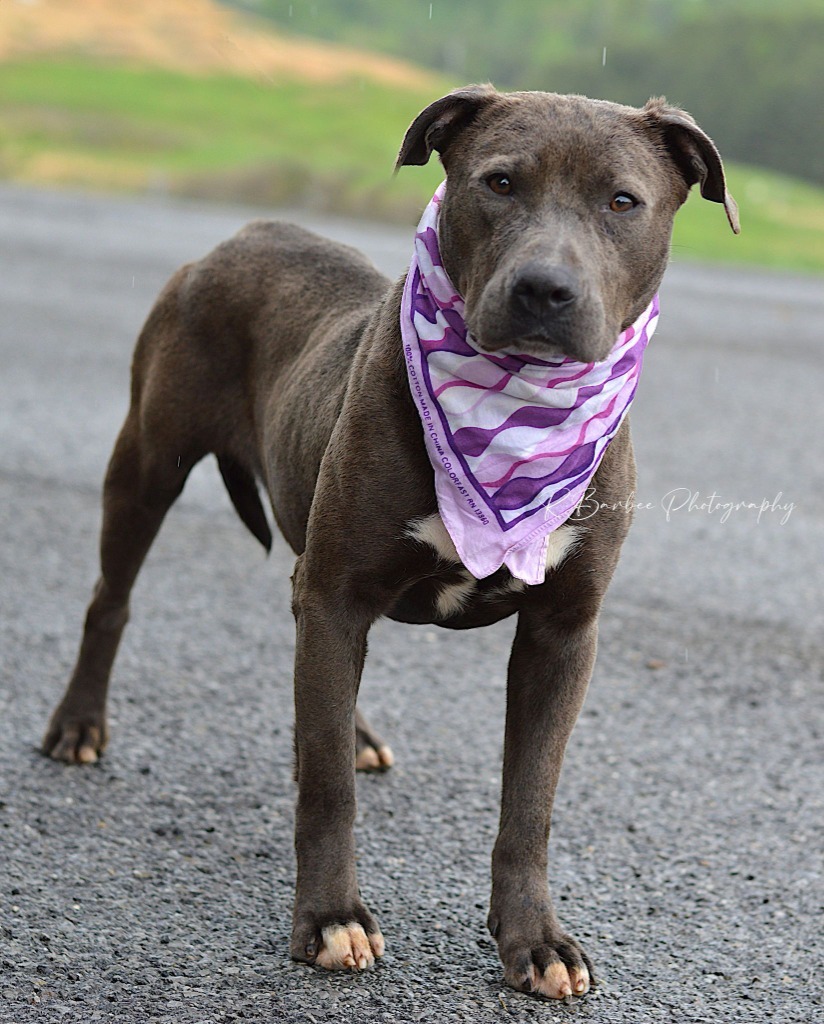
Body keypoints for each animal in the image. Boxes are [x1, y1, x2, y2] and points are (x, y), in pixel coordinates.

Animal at [41, 88, 741, 999]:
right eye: (499, 183)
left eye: (623, 202)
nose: (544, 288)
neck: (514, 409)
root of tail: (244, 233)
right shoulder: (337, 591)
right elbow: (328, 787)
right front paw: (329, 918)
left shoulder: (561, 633)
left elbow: (530, 799)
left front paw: (534, 938)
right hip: (148, 464)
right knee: (113, 599)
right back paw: (78, 725)